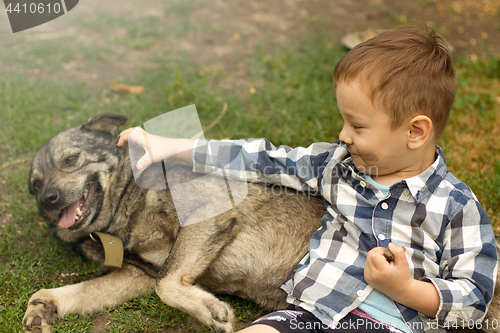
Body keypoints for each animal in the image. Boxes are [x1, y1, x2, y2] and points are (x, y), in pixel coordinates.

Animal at [24, 113, 324, 330]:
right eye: (35, 185)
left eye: (71, 159)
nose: (48, 199)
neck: (126, 200)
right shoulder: (139, 274)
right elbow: (87, 290)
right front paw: (47, 304)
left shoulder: (210, 209)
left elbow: (165, 284)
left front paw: (210, 312)